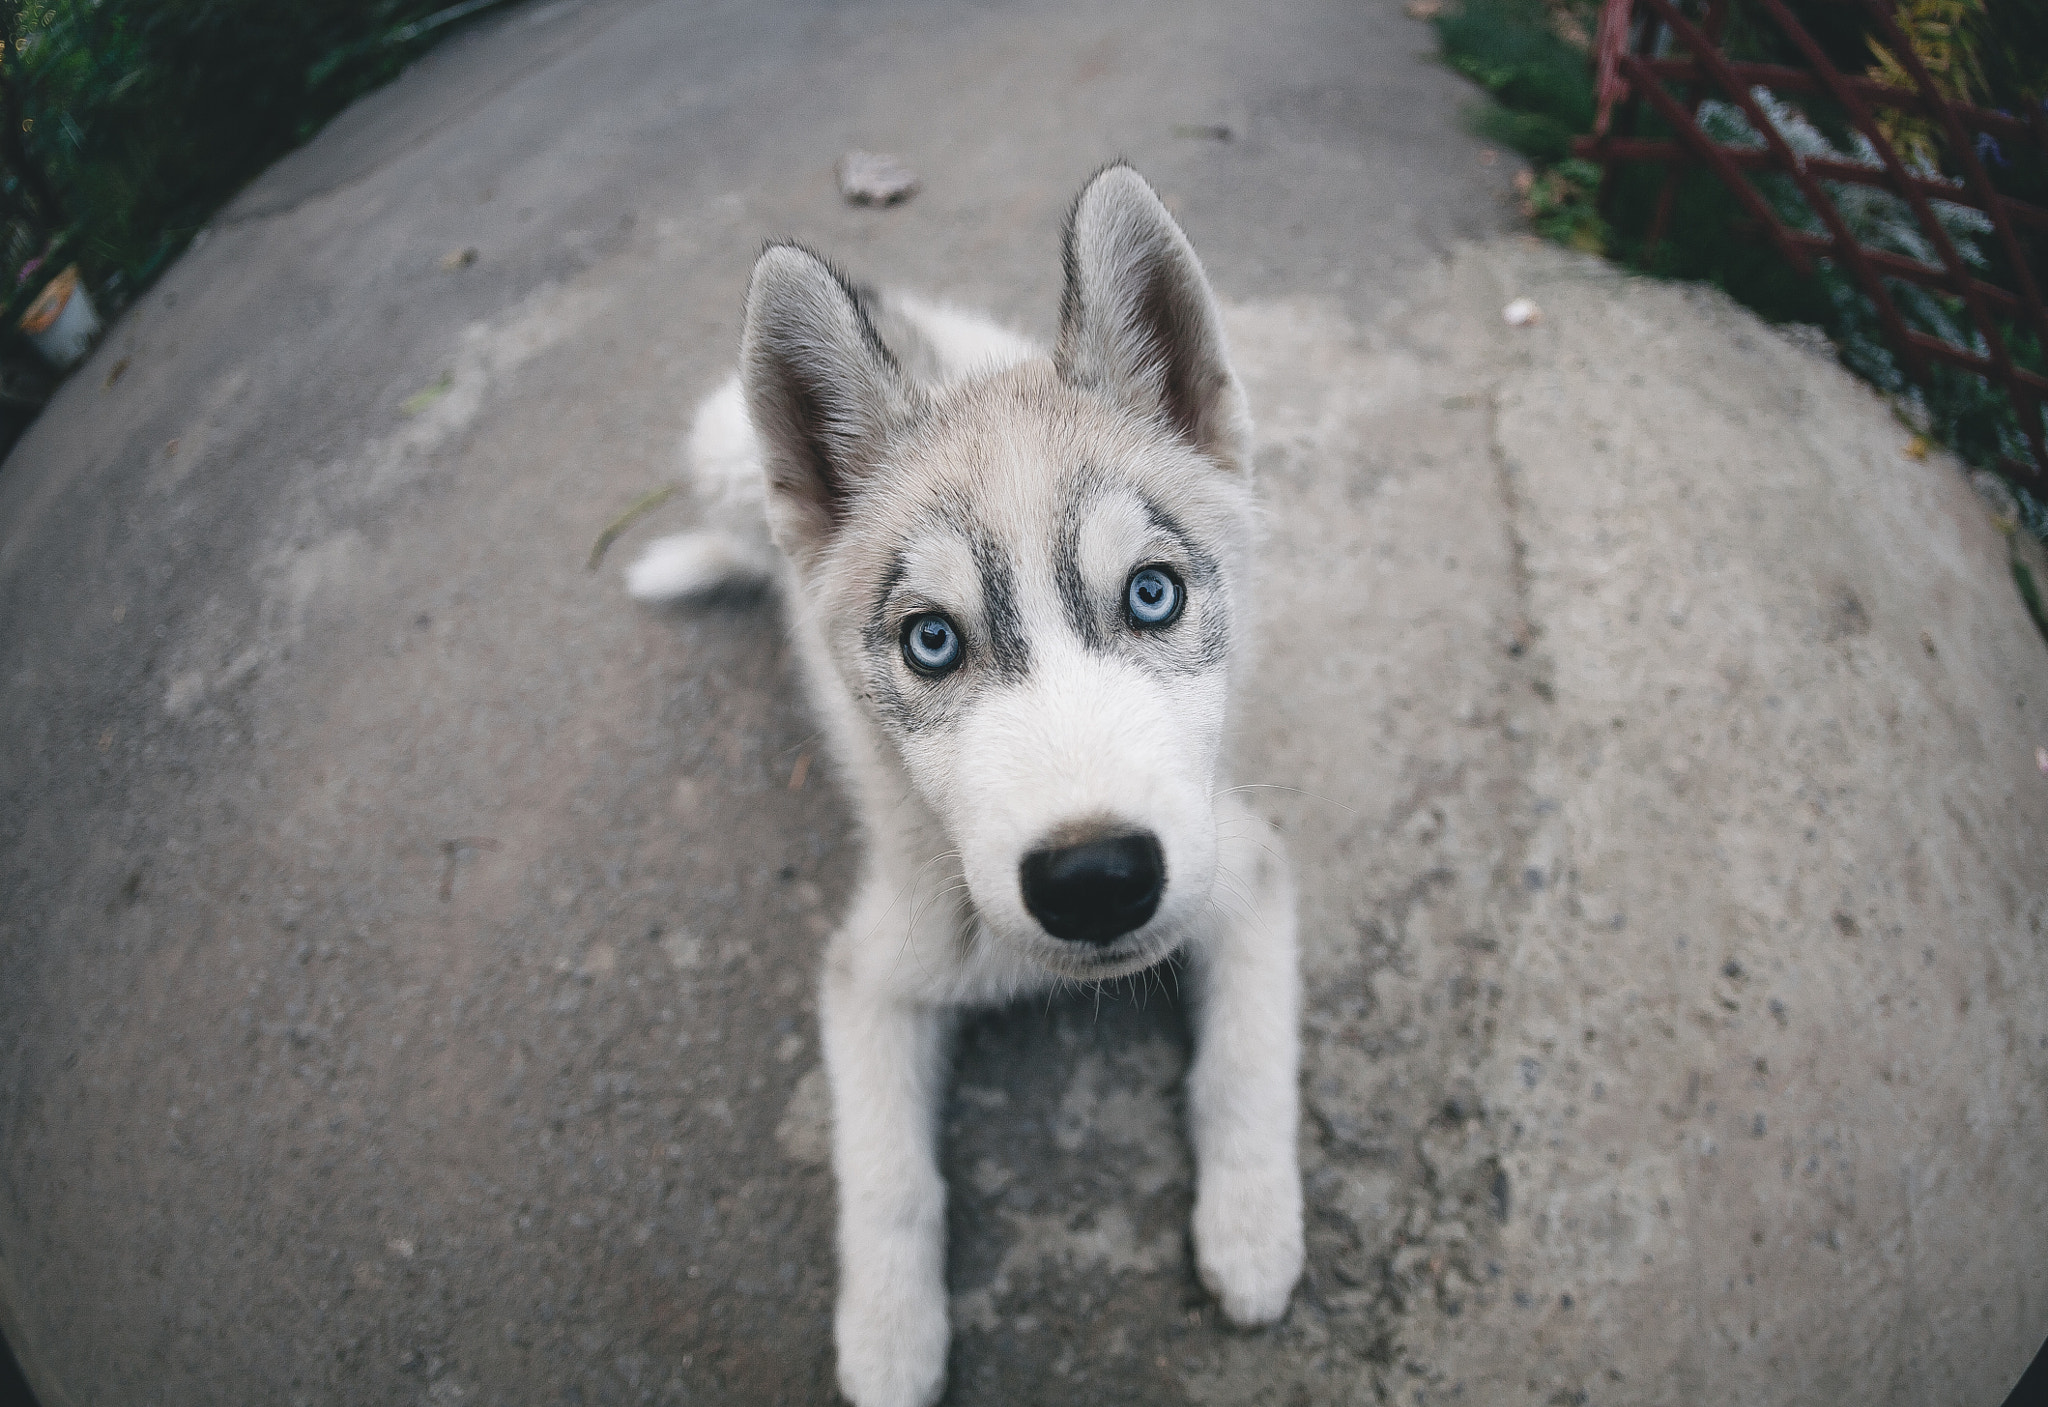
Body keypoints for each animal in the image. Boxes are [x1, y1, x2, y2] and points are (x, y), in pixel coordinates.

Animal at [626, 167, 1294, 1407]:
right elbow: (888, 1177)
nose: (1094, 878)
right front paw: (890, 1339)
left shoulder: (1239, 866)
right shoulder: (870, 971)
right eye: (930, 642)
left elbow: (1245, 1066)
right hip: (722, 450)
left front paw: (1252, 1231)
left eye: (1152, 594)